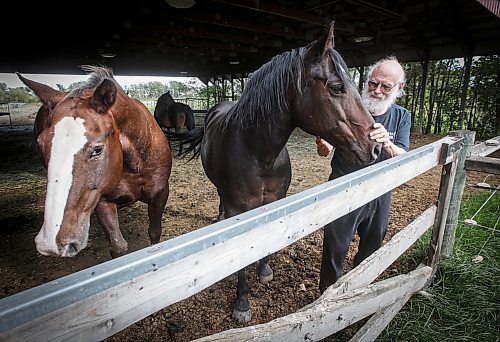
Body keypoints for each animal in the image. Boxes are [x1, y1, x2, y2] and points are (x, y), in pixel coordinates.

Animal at [17, 67, 173, 258]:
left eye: (97, 149)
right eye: (40, 144)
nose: (50, 243)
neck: (135, 165)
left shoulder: (160, 194)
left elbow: (155, 233)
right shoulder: (102, 201)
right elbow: (118, 246)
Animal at [166, 22, 380, 324]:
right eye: (337, 87)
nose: (375, 147)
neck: (258, 153)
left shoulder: (275, 200)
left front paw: (265, 270)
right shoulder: (239, 210)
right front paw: (242, 303)